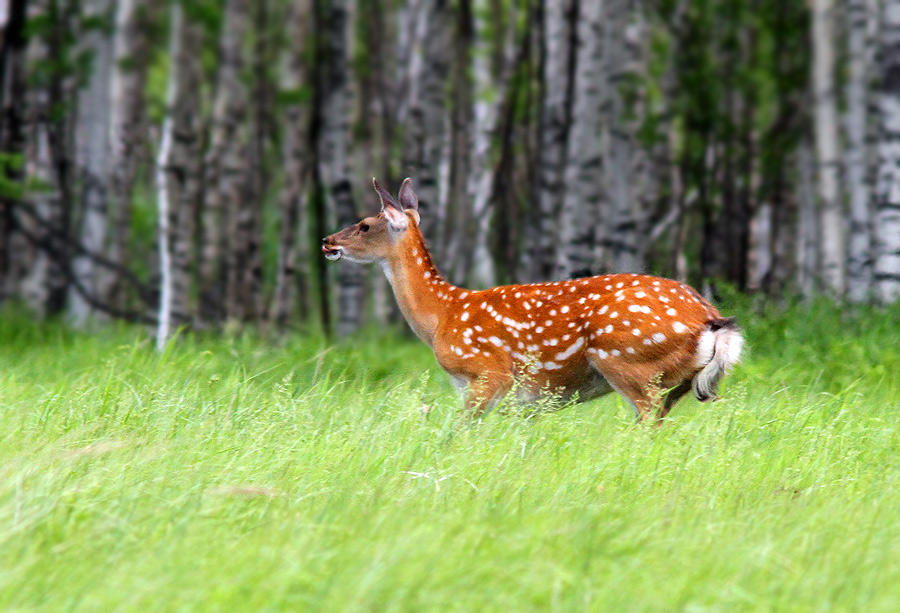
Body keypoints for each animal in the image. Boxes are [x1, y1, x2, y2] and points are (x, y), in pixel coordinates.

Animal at [324, 177, 744, 420]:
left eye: (364, 224)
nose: (327, 241)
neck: (442, 315)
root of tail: (710, 317)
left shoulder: (488, 373)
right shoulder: (528, 403)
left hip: (626, 359)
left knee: (647, 414)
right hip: (686, 381)